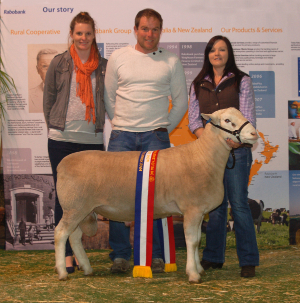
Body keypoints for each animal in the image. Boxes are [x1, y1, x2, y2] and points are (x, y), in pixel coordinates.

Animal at [54, 108, 258, 284]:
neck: (203, 156)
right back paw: (63, 272)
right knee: (61, 233)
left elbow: (198, 240)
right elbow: (192, 241)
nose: (254, 134)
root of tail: (62, 164)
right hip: (75, 206)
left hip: (80, 209)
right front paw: (193, 274)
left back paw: (87, 268)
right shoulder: (192, 208)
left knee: (74, 236)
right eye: (227, 120)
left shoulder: (199, 211)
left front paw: (199, 269)